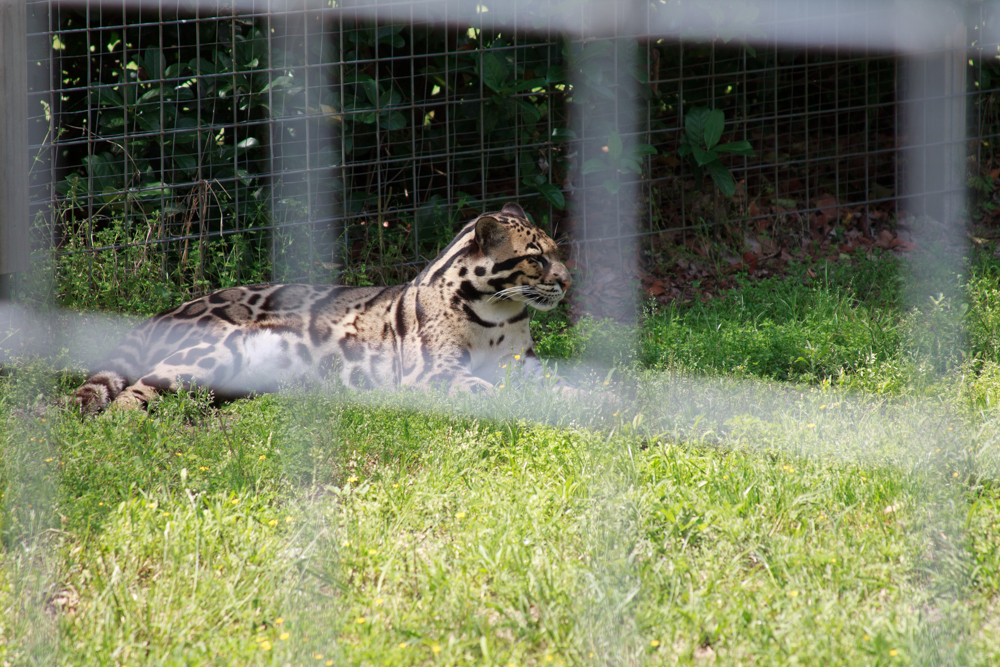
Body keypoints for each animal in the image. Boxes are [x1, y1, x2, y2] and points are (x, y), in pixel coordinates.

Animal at [74, 202, 572, 414]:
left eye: (556, 250)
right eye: (536, 257)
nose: (568, 279)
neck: (497, 312)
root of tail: (166, 312)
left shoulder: (526, 365)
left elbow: (562, 385)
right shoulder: (431, 374)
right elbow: (491, 392)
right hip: (207, 354)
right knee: (130, 396)